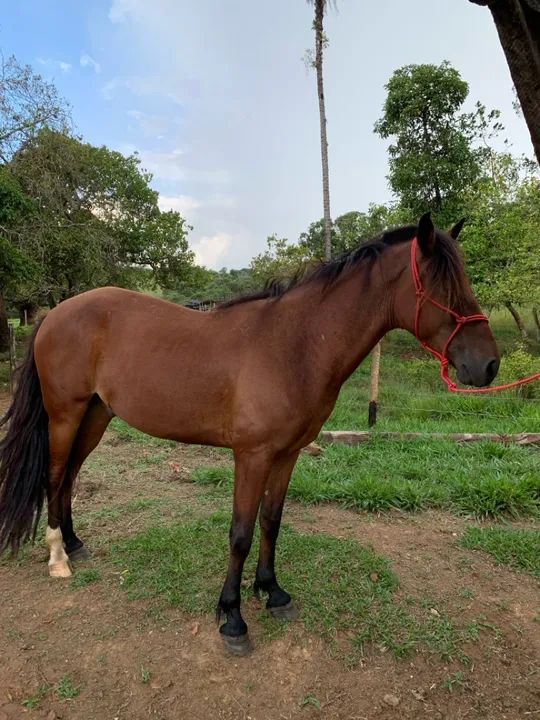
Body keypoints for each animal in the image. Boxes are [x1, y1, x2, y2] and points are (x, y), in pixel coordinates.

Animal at [0, 212, 499, 655]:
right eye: (443, 287)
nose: (489, 365)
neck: (294, 345)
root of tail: (55, 313)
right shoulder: (251, 456)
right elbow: (240, 533)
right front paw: (233, 618)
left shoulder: (287, 454)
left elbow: (271, 522)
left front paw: (272, 592)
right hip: (65, 415)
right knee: (54, 475)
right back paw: (58, 559)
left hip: (96, 416)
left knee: (70, 477)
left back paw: (75, 544)